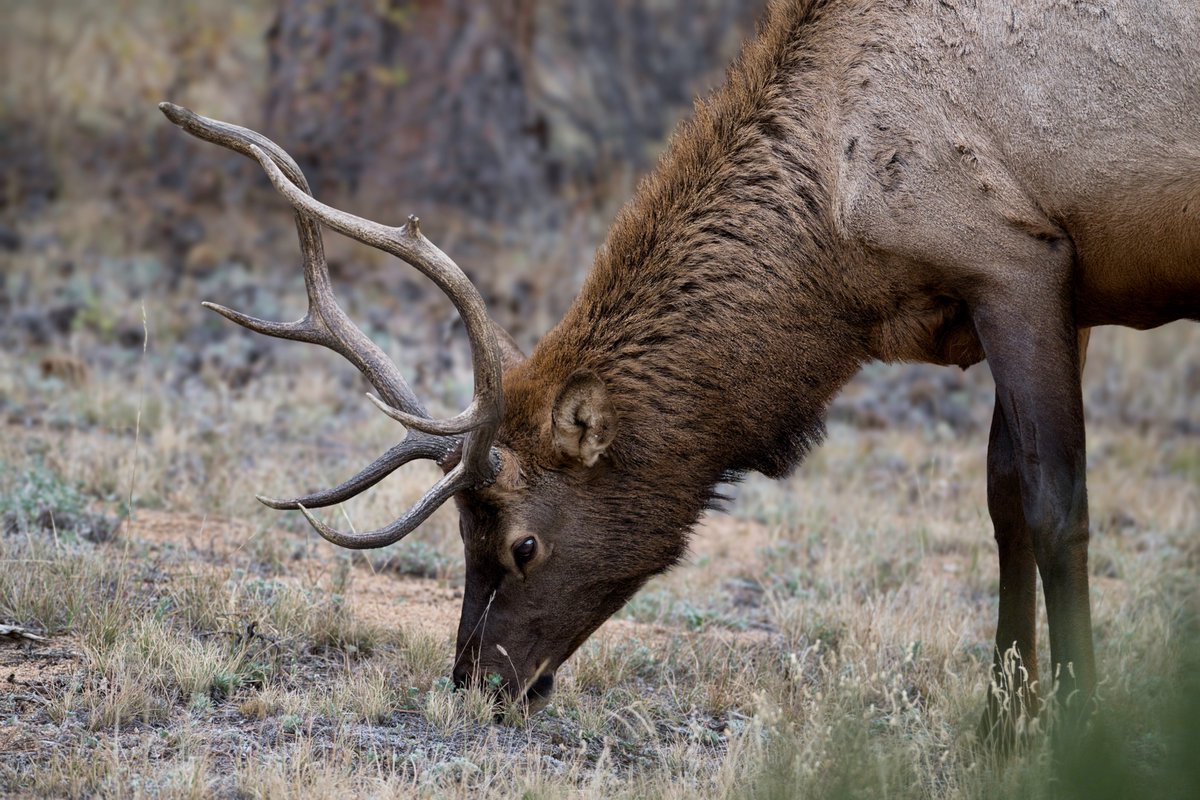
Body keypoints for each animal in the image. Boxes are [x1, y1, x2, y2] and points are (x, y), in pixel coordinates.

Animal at [161, 0, 1199, 740]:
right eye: (461, 536)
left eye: (522, 545)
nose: (476, 684)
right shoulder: (1050, 291)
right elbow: (1005, 501)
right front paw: (999, 724)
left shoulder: (1018, 259)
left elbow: (1058, 505)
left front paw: (1077, 729)